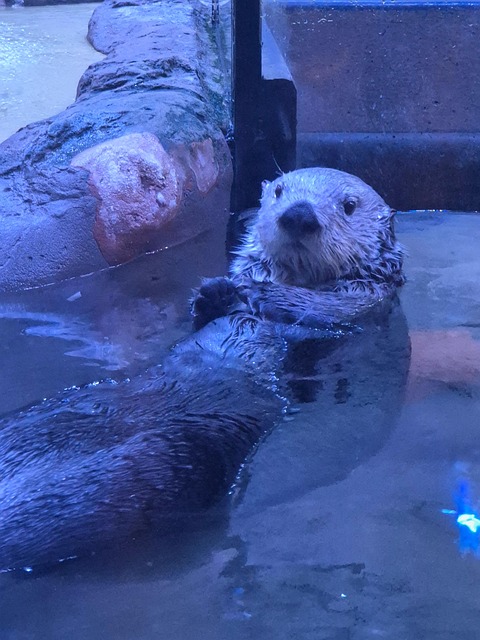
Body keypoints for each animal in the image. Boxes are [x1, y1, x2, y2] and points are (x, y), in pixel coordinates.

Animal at [0, 168, 407, 571]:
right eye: (279, 190)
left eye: (349, 205)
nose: (299, 215)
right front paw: (216, 292)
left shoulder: (357, 306)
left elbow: (318, 307)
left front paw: (256, 293)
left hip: (167, 463)